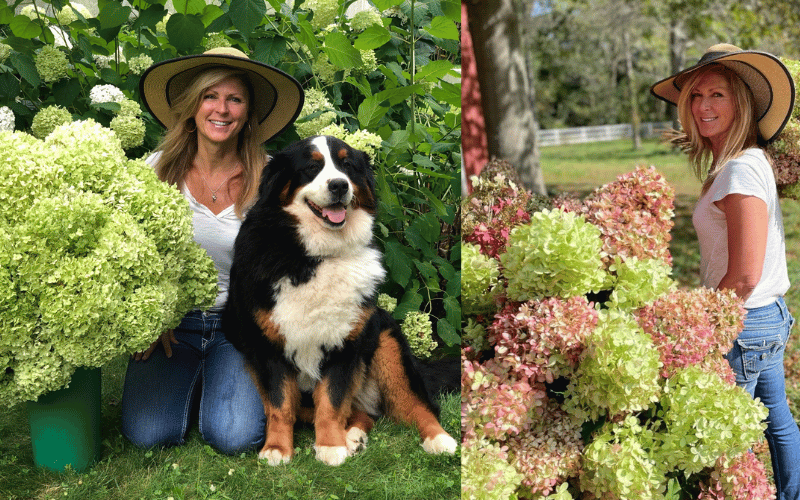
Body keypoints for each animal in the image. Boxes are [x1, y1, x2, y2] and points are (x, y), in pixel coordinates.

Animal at [222, 136, 460, 464]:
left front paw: (330, 446)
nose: (339, 185)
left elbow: (332, 402)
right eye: (311, 167)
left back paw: (439, 440)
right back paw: (354, 436)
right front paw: (277, 449)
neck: (317, 256)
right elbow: (280, 405)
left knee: (416, 405)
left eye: (347, 165)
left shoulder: (344, 343)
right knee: (361, 412)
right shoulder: (268, 344)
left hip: (387, 343)